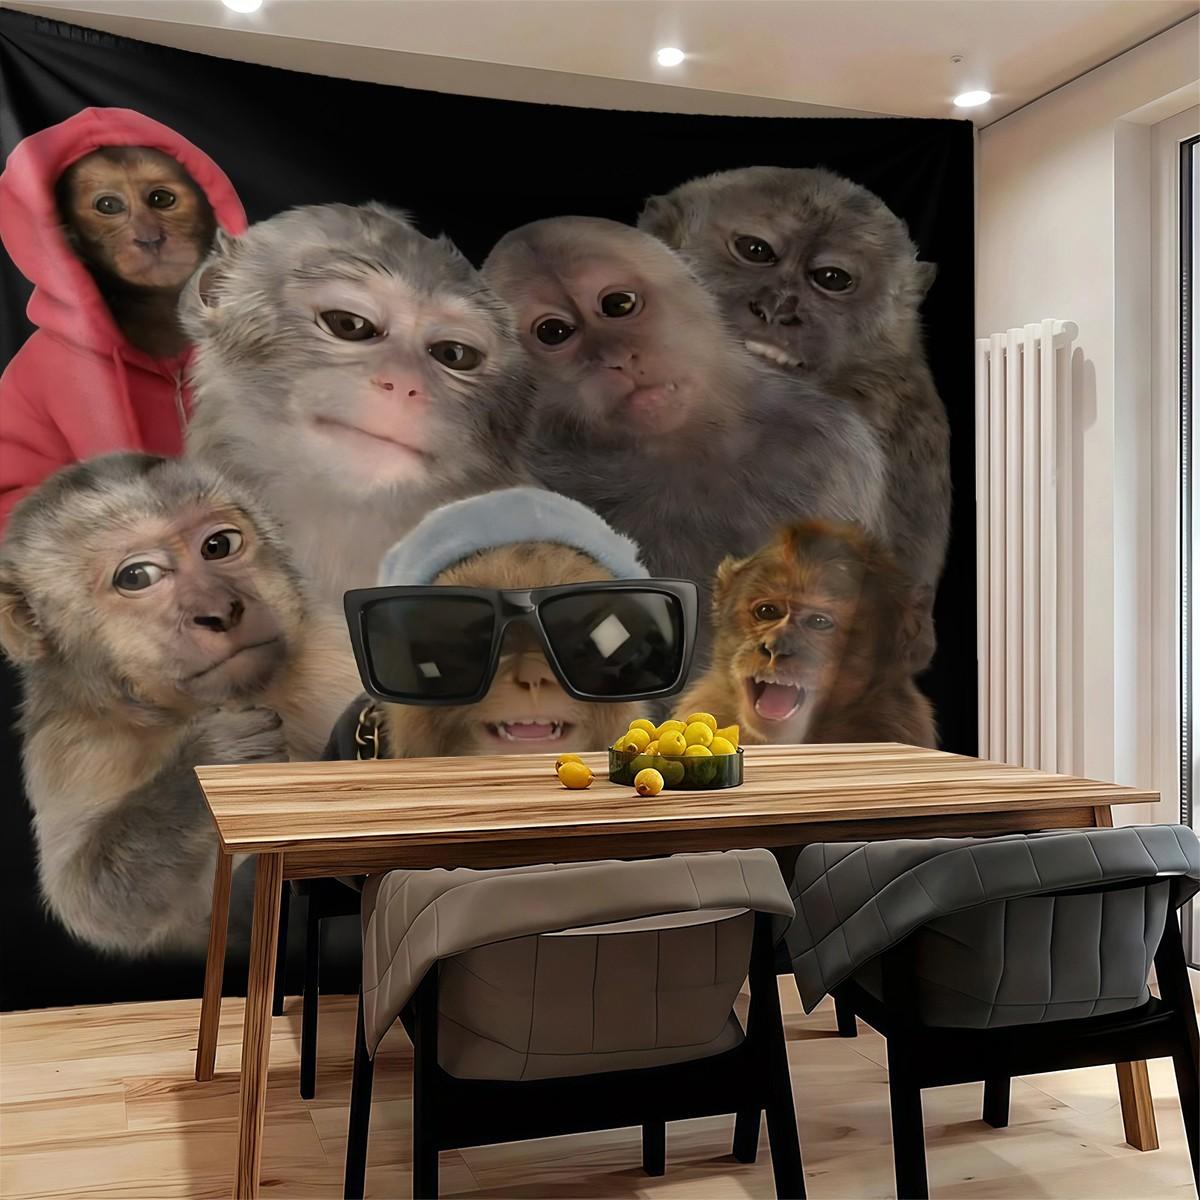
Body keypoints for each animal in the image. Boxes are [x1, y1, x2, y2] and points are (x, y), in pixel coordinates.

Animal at [0, 452, 362, 956]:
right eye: (137, 577)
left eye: (219, 545)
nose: (221, 611)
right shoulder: (73, 746)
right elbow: (92, 903)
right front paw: (209, 763)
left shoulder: (328, 652)